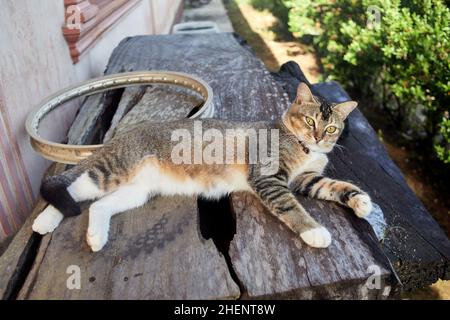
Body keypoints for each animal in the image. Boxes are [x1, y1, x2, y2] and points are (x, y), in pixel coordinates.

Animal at [32, 82, 372, 252]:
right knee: (72, 187)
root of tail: (120, 136)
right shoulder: (270, 178)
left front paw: (362, 201)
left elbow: (334, 186)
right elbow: (292, 207)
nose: (318, 136)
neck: (305, 149)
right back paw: (44, 220)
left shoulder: (305, 179)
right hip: (111, 171)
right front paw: (315, 231)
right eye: (310, 120)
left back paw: (95, 237)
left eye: (331, 128)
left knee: (97, 206)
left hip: (136, 192)